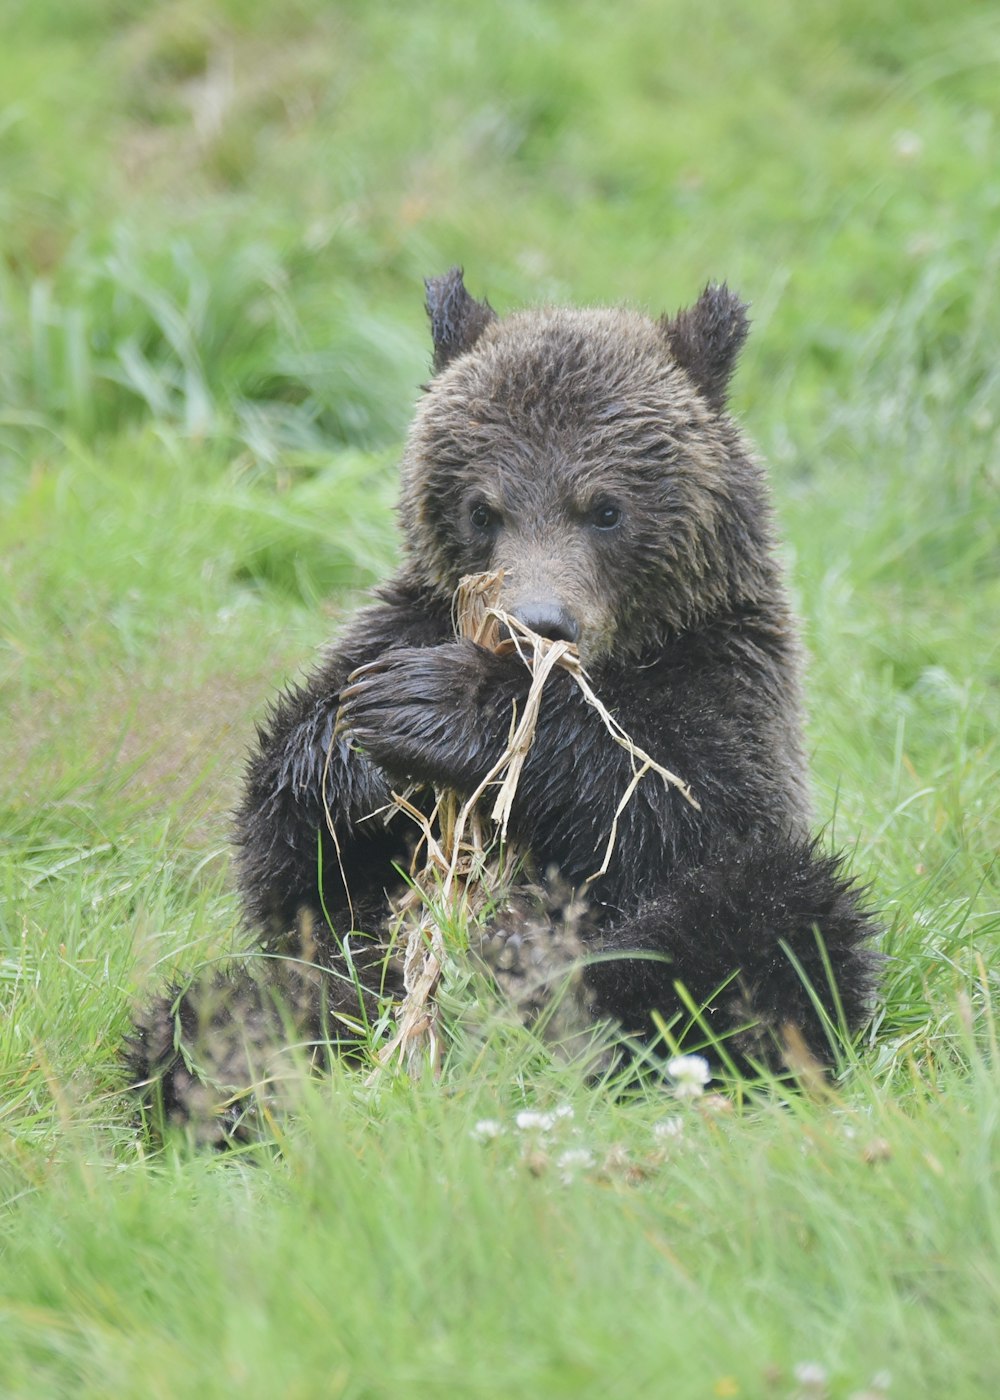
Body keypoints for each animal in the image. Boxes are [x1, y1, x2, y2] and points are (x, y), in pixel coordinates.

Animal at [124, 267, 873, 1142]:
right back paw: (223, 1077)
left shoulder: (730, 681)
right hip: (355, 981)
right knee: (236, 1005)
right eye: (483, 508)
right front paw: (352, 758)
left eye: (605, 507)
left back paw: (555, 978)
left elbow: (681, 806)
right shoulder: (393, 628)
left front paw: (441, 707)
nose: (538, 622)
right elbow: (288, 870)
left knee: (769, 920)